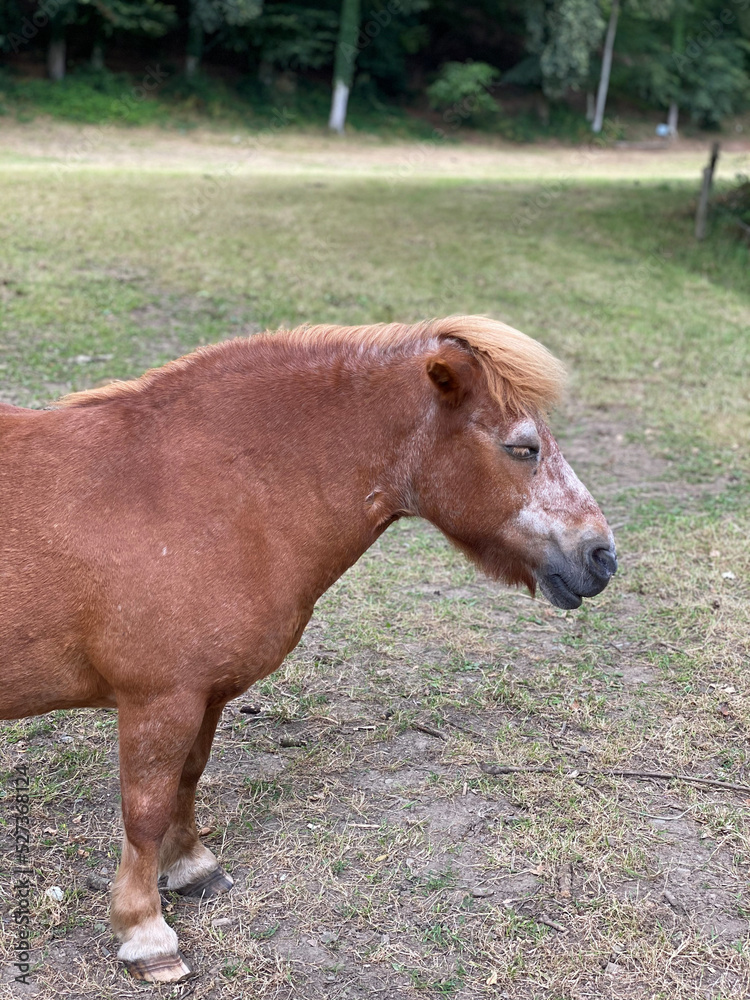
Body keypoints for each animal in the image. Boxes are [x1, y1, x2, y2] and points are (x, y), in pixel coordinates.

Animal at [0, 315, 617, 982]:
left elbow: (187, 779)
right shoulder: (160, 700)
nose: (602, 557)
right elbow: (145, 811)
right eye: (523, 448)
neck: (196, 494)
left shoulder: (205, 695)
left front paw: (191, 867)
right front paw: (146, 934)